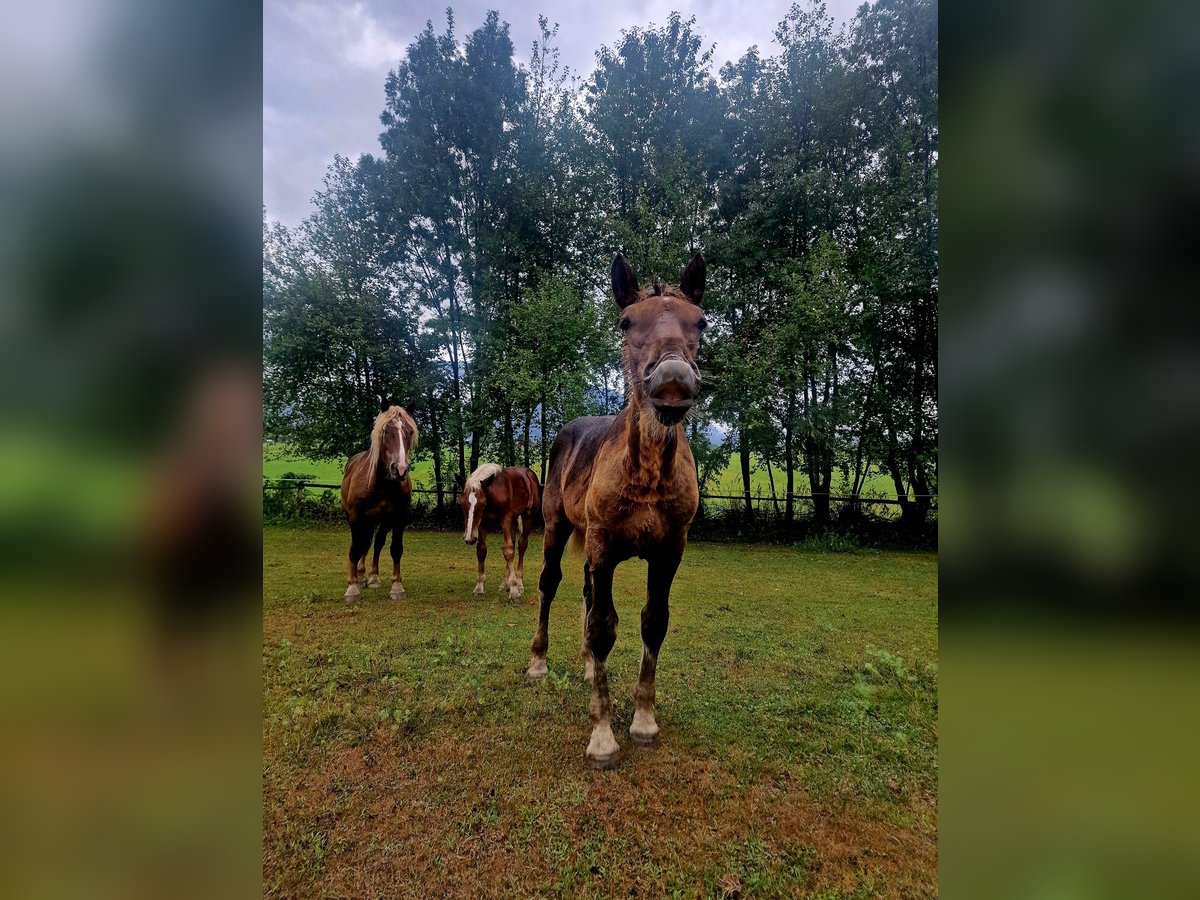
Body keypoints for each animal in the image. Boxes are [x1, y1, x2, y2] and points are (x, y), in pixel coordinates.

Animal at [340, 405, 420, 602]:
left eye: (409, 431)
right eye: (385, 431)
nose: (400, 469)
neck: (382, 485)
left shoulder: (399, 519)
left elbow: (396, 549)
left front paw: (397, 587)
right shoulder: (355, 518)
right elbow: (355, 549)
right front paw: (352, 588)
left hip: (381, 522)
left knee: (375, 543)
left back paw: (373, 578)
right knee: (363, 543)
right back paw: (360, 578)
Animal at [458, 465, 540, 600]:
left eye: (482, 504)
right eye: (462, 503)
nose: (469, 538)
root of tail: (529, 474)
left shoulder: (506, 519)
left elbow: (508, 550)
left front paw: (514, 592)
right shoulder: (482, 522)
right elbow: (481, 550)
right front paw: (479, 587)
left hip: (528, 516)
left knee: (522, 545)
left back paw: (519, 583)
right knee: (513, 541)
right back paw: (505, 584)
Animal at [523, 252, 700, 768]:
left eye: (701, 321)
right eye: (626, 322)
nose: (673, 383)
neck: (646, 473)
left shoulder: (669, 552)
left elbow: (652, 622)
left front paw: (643, 721)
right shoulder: (602, 546)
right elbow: (604, 627)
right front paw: (602, 735)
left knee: (585, 593)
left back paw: (586, 668)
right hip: (557, 528)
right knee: (550, 584)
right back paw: (538, 662)